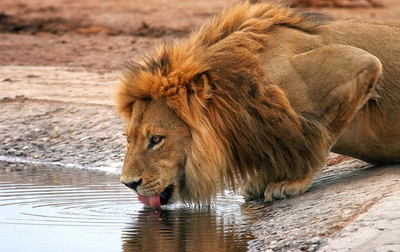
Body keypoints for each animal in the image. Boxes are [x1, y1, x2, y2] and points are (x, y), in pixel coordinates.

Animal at [115, 1, 400, 207]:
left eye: (156, 140)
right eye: (128, 139)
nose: (128, 184)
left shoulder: (360, 65)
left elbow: (317, 139)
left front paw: (294, 180)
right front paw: (262, 179)